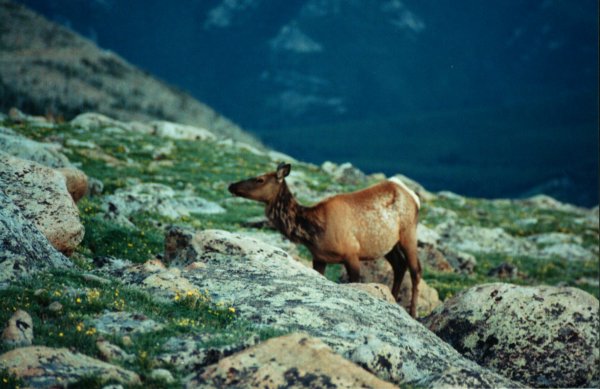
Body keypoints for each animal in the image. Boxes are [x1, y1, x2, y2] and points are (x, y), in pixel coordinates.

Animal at [230, 162, 422, 316]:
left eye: (260, 179)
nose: (231, 185)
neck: (312, 233)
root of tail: (414, 197)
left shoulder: (351, 253)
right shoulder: (319, 258)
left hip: (409, 232)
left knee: (415, 270)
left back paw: (413, 313)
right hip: (388, 244)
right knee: (400, 266)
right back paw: (394, 299)